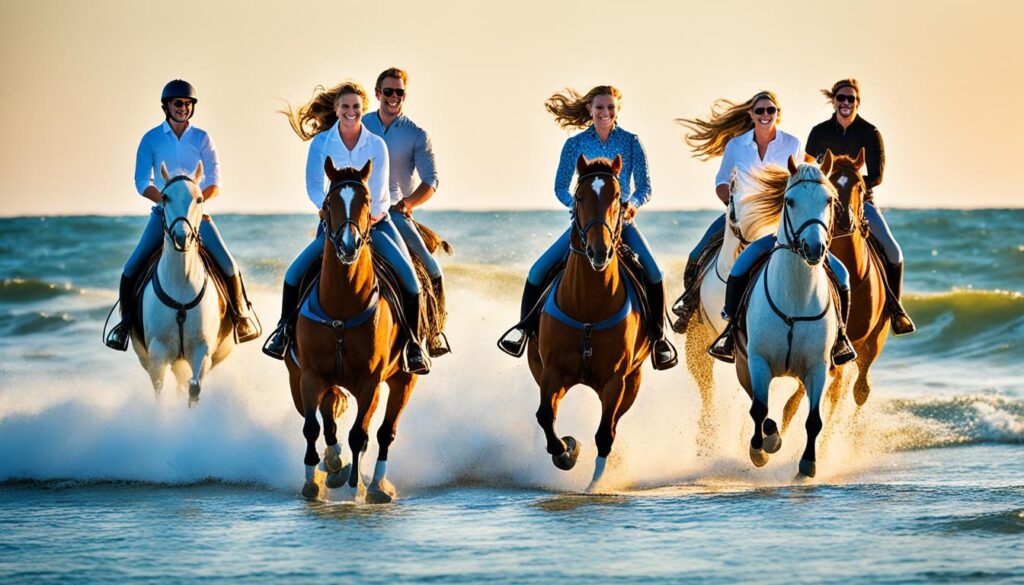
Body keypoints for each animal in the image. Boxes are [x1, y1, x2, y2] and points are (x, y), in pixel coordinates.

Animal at [131, 162, 233, 405]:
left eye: (199, 198)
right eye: (164, 197)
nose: (181, 237)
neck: (181, 284)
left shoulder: (202, 350)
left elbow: (194, 388)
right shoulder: (157, 354)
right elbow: (159, 392)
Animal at [284, 158, 415, 504]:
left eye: (366, 201)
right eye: (330, 202)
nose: (347, 245)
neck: (342, 307)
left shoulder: (371, 381)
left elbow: (360, 435)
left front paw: (356, 487)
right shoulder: (310, 376)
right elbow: (314, 427)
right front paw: (316, 479)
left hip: (403, 380)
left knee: (384, 432)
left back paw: (378, 486)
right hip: (300, 378)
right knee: (328, 419)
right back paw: (333, 468)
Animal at [528, 153, 647, 491]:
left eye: (618, 197)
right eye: (579, 197)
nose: (599, 252)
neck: (588, 309)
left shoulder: (616, 380)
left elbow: (605, 432)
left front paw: (595, 485)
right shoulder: (552, 371)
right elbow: (545, 416)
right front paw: (568, 450)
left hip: (632, 382)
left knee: (614, 424)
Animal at [737, 156, 839, 481]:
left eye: (829, 200)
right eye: (790, 201)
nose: (814, 248)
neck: (795, 298)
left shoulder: (819, 367)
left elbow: (814, 420)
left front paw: (808, 464)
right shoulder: (757, 360)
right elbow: (758, 408)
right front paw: (758, 452)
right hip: (743, 363)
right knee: (756, 402)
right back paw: (770, 439)